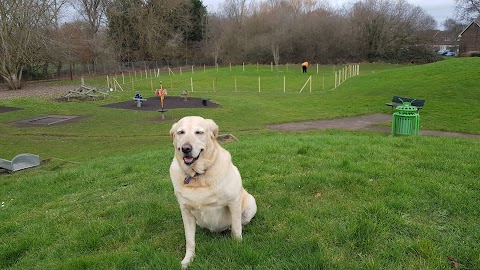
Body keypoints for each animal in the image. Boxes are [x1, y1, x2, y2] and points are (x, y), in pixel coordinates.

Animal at [171, 115, 256, 268]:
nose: (186, 148)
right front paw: (188, 260)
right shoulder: (185, 211)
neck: (197, 176)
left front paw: (238, 245)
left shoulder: (233, 202)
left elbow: (236, 228)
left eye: (199, 132)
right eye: (180, 132)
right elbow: (190, 240)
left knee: (239, 223)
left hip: (250, 205)